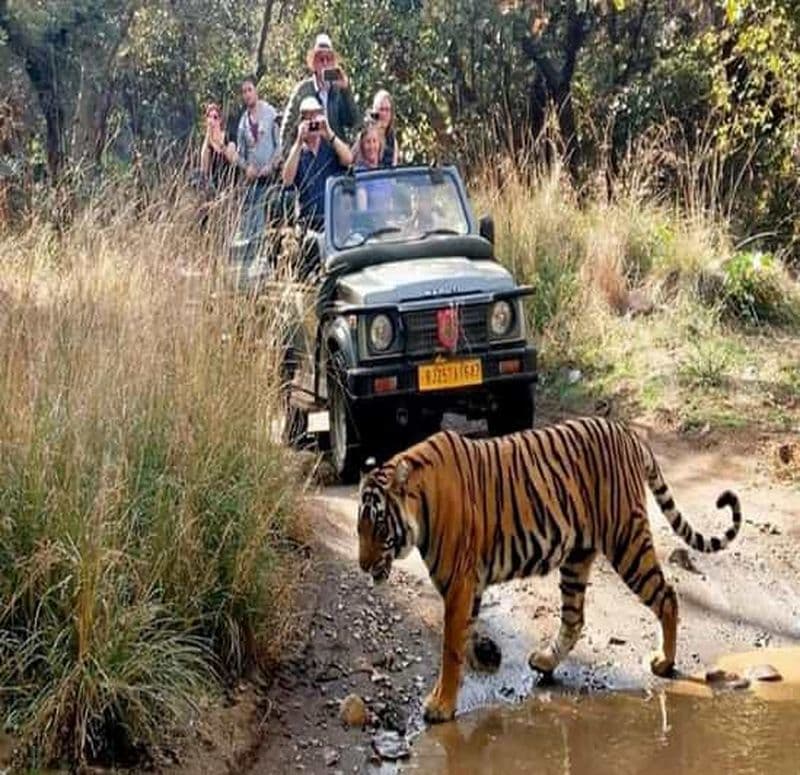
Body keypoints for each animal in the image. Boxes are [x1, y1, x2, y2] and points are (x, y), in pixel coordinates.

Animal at [356, 416, 742, 723]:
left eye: (379, 525)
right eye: (359, 528)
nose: (362, 564)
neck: (421, 504)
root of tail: (627, 432)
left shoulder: (459, 583)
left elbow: (450, 647)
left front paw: (440, 705)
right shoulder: (469, 585)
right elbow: (466, 632)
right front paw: (485, 656)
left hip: (626, 541)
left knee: (666, 595)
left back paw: (664, 662)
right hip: (577, 557)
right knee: (574, 618)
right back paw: (544, 661)